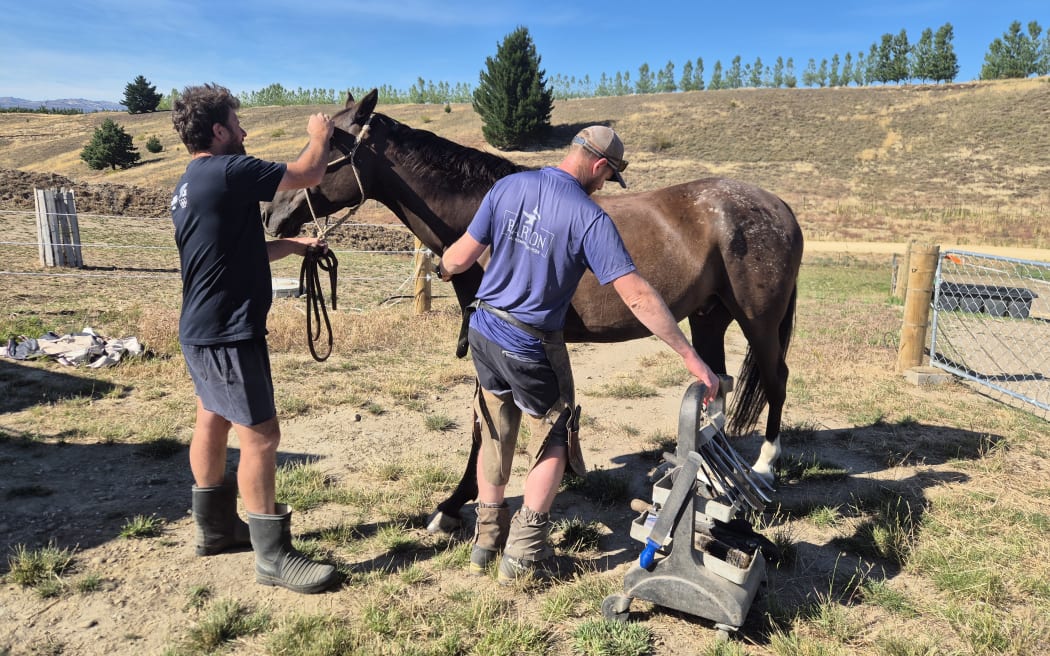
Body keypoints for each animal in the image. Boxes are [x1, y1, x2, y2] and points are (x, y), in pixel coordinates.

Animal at [261, 89, 804, 532]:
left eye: (326, 144)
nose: (271, 212)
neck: (484, 211)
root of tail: (776, 204)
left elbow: (482, 428)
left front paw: (452, 505)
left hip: (759, 321)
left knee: (776, 378)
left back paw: (764, 469)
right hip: (708, 316)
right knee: (716, 381)